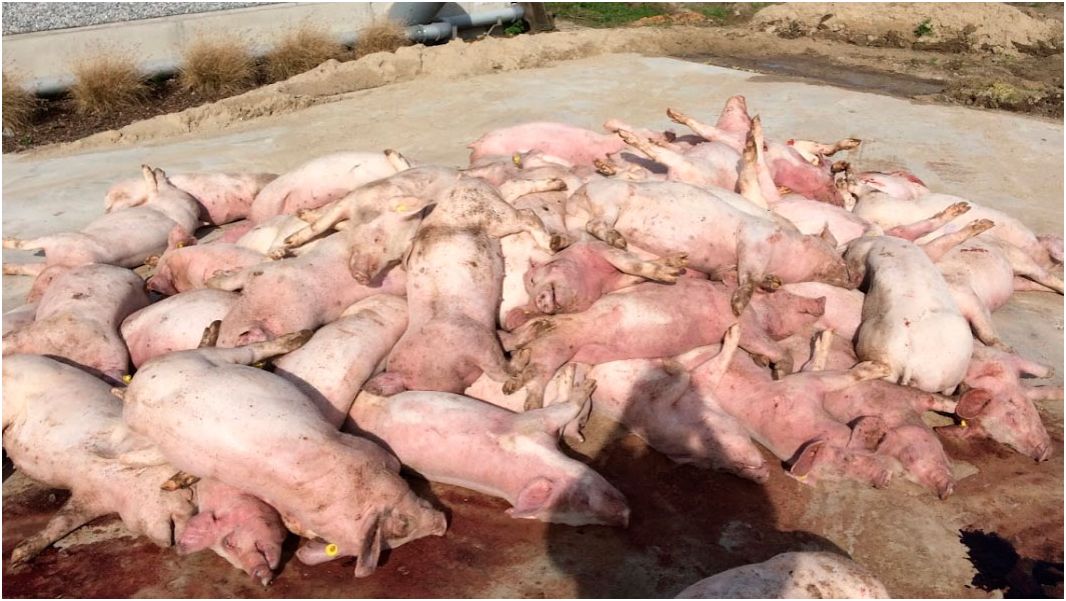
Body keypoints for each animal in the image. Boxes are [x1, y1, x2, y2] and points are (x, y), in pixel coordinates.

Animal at [3, 166, 201, 270]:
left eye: (168, 181)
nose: (160, 169)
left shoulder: (155, 198)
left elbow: (148, 190)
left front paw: (146, 170)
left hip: (58, 238)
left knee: (23, 245)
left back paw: (6, 242)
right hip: (46, 264)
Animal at [120, 331, 448, 578]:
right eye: (403, 527)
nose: (442, 527)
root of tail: (138, 386)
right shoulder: (365, 449)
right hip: (204, 361)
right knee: (244, 350)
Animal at [347, 365, 629, 526]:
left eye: (584, 518)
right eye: (579, 501)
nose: (626, 518)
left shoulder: (535, 431)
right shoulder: (529, 425)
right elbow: (561, 408)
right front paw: (582, 383)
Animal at [503, 279, 826, 409]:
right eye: (784, 295)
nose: (821, 301)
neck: (757, 309)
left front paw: (764, 364)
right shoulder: (748, 326)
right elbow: (771, 346)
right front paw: (781, 372)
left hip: (550, 346)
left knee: (522, 351)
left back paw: (512, 378)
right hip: (556, 348)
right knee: (536, 373)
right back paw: (529, 404)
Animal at [565, 178, 851, 314]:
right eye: (841, 261)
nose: (852, 280)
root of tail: (573, 200)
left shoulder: (722, 267)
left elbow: (731, 275)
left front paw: (772, 283)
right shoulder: (754, 239)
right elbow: (749, 276)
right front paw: (737, 307)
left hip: (594, 238)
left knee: (626, 261)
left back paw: (674, 268)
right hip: (609, 201)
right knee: (597, 223)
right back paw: (619, 239)